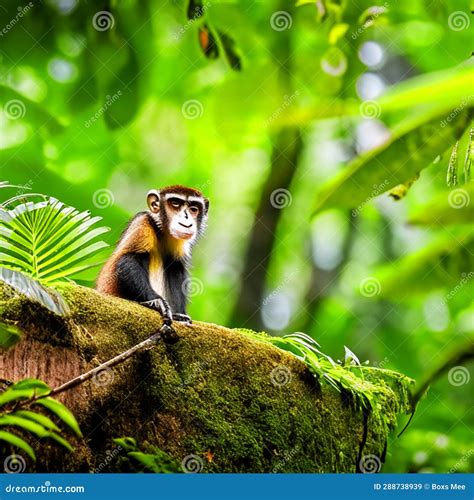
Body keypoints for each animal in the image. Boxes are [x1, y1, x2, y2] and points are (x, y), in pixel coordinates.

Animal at [95, 186, 208, 334]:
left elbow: (176, 266)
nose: (186, 218)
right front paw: (157, 302)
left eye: (193, 209)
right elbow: (128, 259)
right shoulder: (143, 221)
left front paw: (179, 316)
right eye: (175, 204)